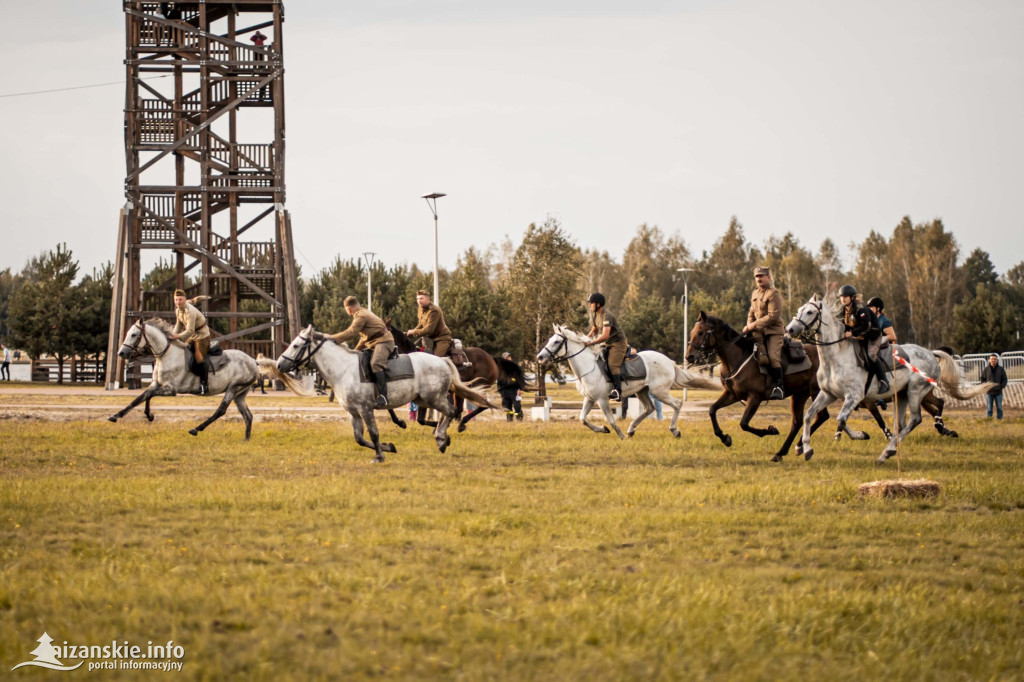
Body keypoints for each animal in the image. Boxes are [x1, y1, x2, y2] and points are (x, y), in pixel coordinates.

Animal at [108, 317, 264, 438]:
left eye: (134, 335)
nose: (121, 353)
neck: (166, 355)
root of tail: (253, 361)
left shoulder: (171, 389)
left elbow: (148, 395)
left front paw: (149, 415)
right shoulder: (156, 384)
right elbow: (140, 398)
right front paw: (117, 416)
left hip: (233, 388)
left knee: (221, 411)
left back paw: (196, 429)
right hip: (240, 394)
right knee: (248, 416)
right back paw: (246, 440)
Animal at [264, 323, 495, 462]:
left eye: (296, 345)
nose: (280, 364)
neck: (343, 369)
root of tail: (444, 360)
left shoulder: (366, 409)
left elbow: (373, 433)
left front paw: (379, 455)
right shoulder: (353, 412)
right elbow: (359, 438)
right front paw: (389, 447)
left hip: (434, 398)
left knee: (452, 412)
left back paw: (442, 438)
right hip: (424, 399)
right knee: (451, 413)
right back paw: (444, 436)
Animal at [385, 323, 536, 430]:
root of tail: (491, 358)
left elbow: (421, 419)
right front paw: (401, 422)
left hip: (475, 386)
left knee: (481, 405)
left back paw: (462, 422)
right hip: (460, 391)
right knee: (462, 408)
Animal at [536, 325, 720, 440]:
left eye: (556, 342)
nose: (540, 357)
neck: (588, 367)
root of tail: (669, 361)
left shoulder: (602, 399)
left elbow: (611, 419)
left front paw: (620, 435)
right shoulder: (589, 398)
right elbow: (582, 419)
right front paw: (603, 429)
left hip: (659, 391)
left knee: (677, 404)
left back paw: (674, 430)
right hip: (642, 391)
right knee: (649, 408)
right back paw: (632, 429)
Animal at [782, 292, 991, 462]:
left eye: (810, 312)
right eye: (799, 309)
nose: (789, 330)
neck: (835, 357)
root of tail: (931, 353)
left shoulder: (855, 397)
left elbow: (841, 420)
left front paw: (860, 435)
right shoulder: (828, 394)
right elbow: (810, 416)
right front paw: (806, 449)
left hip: (916, 392)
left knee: (917, 419)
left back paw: (890, 450)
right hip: (903, 395)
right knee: (905, 422)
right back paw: (892, 450)